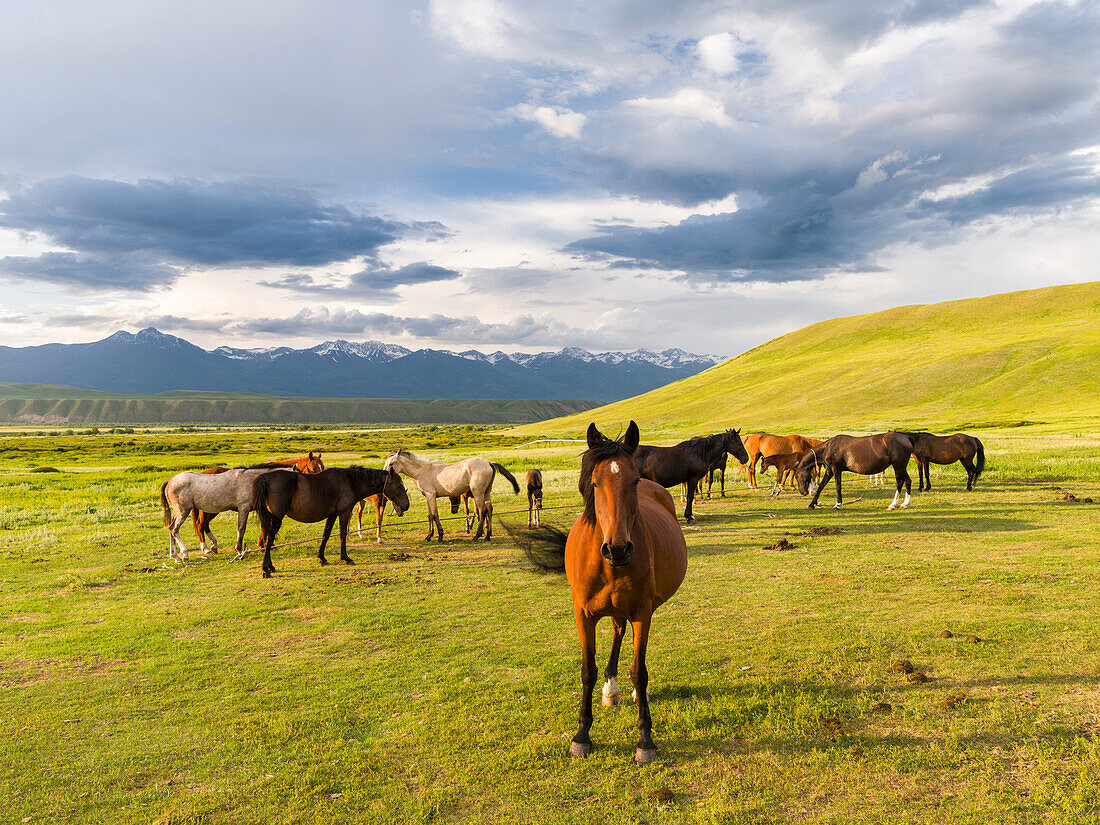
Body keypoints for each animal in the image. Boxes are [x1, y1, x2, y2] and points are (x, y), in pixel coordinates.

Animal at [160, 466, 299, 563]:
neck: (252, 480)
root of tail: (170, 481)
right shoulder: (243, 508)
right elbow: (241, 529)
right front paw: (240, 550)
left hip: (178, 513)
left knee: (171, 529)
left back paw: (176, 556)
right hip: (183, 511)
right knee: (175, 530)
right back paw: (185, 554)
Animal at [191, 455, 321, 552]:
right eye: (314, 468)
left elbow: (265, 525)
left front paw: (265, 545)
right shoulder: (249, 508)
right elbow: (250, 527)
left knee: (204, 525)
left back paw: (214, 546)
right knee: (200, 524)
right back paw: (206, 548)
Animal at [251, 468, 411, 576]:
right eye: (398, 486)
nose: (406, 505)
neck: (350, 482)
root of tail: (266, 477)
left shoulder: (332, 515)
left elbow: (326, 535)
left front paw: (321, 558)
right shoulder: (344, 513)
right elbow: (342, 535)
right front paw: (345, 558)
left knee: (266, 539)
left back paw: (269, 566)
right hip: (276, 518)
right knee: (269, 539)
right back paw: (266, 568)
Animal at [382, 453, 519, 543]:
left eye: (391, 463)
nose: (385, 475)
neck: (422, 471)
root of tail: (489, 462)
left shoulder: (431, 496)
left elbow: (435, 515)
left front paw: (440, 536)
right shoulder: (428, 497)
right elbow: (430, 515)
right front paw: (429, 536)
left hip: (478, 493)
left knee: (482, 511)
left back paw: (477, 536)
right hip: (486, 493)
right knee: (489, 509)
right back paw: (488, 536)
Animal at [523, 426, 686, 770]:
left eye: (633, 480)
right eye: (595, 482)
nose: (618, 549)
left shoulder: (642, 612)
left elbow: (639, 670)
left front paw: (645, 740)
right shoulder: (583, 615)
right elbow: (588, 670)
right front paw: (581, 736)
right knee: (617, 632)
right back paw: (611, 688)